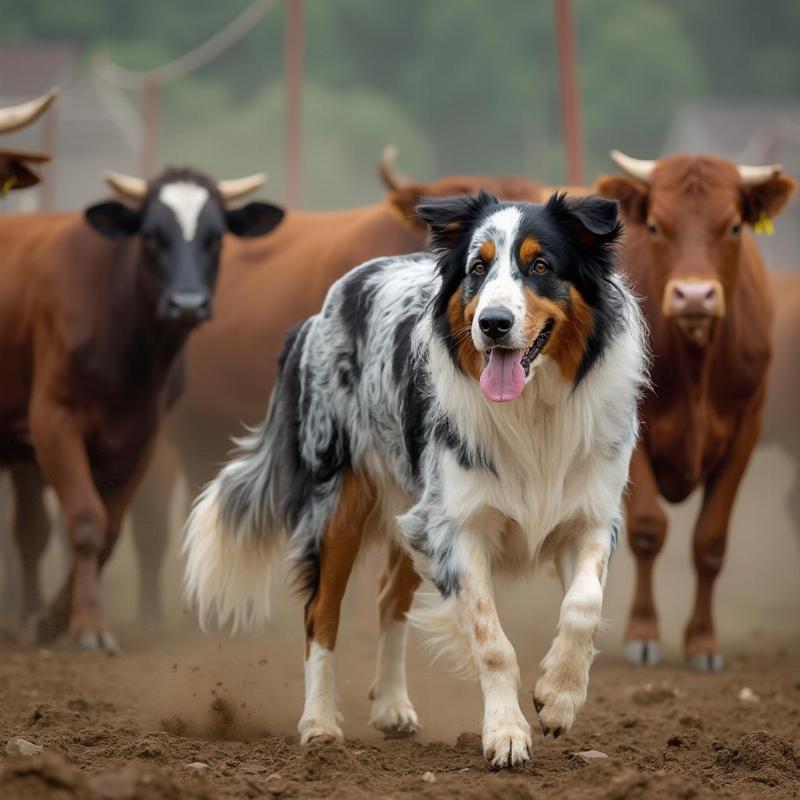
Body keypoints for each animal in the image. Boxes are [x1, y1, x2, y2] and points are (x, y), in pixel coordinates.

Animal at [0, 169, 284, 648]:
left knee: (31, 527)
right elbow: (84, 521)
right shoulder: (54, 423)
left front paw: (56, 619)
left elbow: (108, 530)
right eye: (151, 236)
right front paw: (88, 625)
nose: (187, 303)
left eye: (215, 238)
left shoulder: (141, 437)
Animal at [184, 192, 648, 768]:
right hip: (341, 501)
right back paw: (319, 725)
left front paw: (559, 697)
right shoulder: (457, 525)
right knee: (321, 612)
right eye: (477, 268)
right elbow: (491, 640)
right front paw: (506, 732)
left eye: (541, 266)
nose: (493, 323)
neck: (532, 410)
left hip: (412, 506)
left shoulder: (587, 516)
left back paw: (391, 706)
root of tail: (321, 311)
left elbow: (584, 605)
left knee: (388, 598)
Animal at [592, 150, 792, 668]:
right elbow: (647, 529)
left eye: (735, 226)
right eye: (656, 226)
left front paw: (703, 641)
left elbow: (710, 541)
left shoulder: (746, 431)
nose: (695, 296)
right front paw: (643, 633)